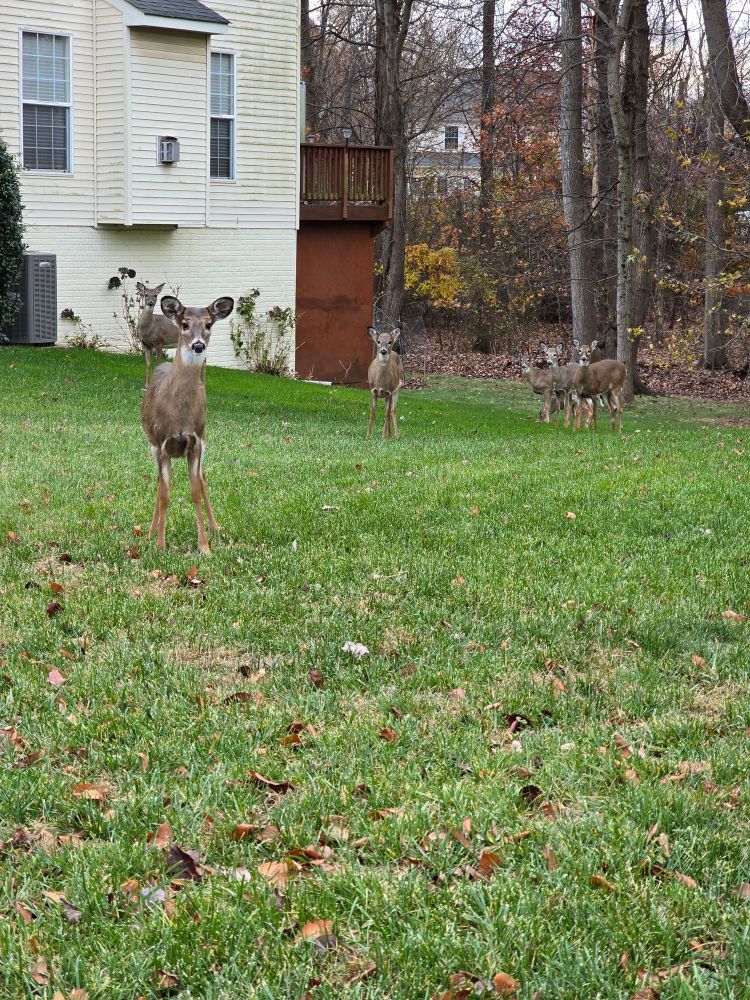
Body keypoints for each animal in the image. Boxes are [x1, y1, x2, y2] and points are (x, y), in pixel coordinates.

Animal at [141, 293, 234, 554]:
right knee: (159, 484)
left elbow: (196, 492)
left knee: (203, 479)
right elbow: (164, 495)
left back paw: (215, 527)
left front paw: (204, 546)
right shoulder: (162, 444)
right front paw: (160, 544)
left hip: (203, 442)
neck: (179, 416)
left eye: (209, 324)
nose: (198, 345)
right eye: (184, 324)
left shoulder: (195, 442)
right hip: (153, 446)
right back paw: (150, 532)